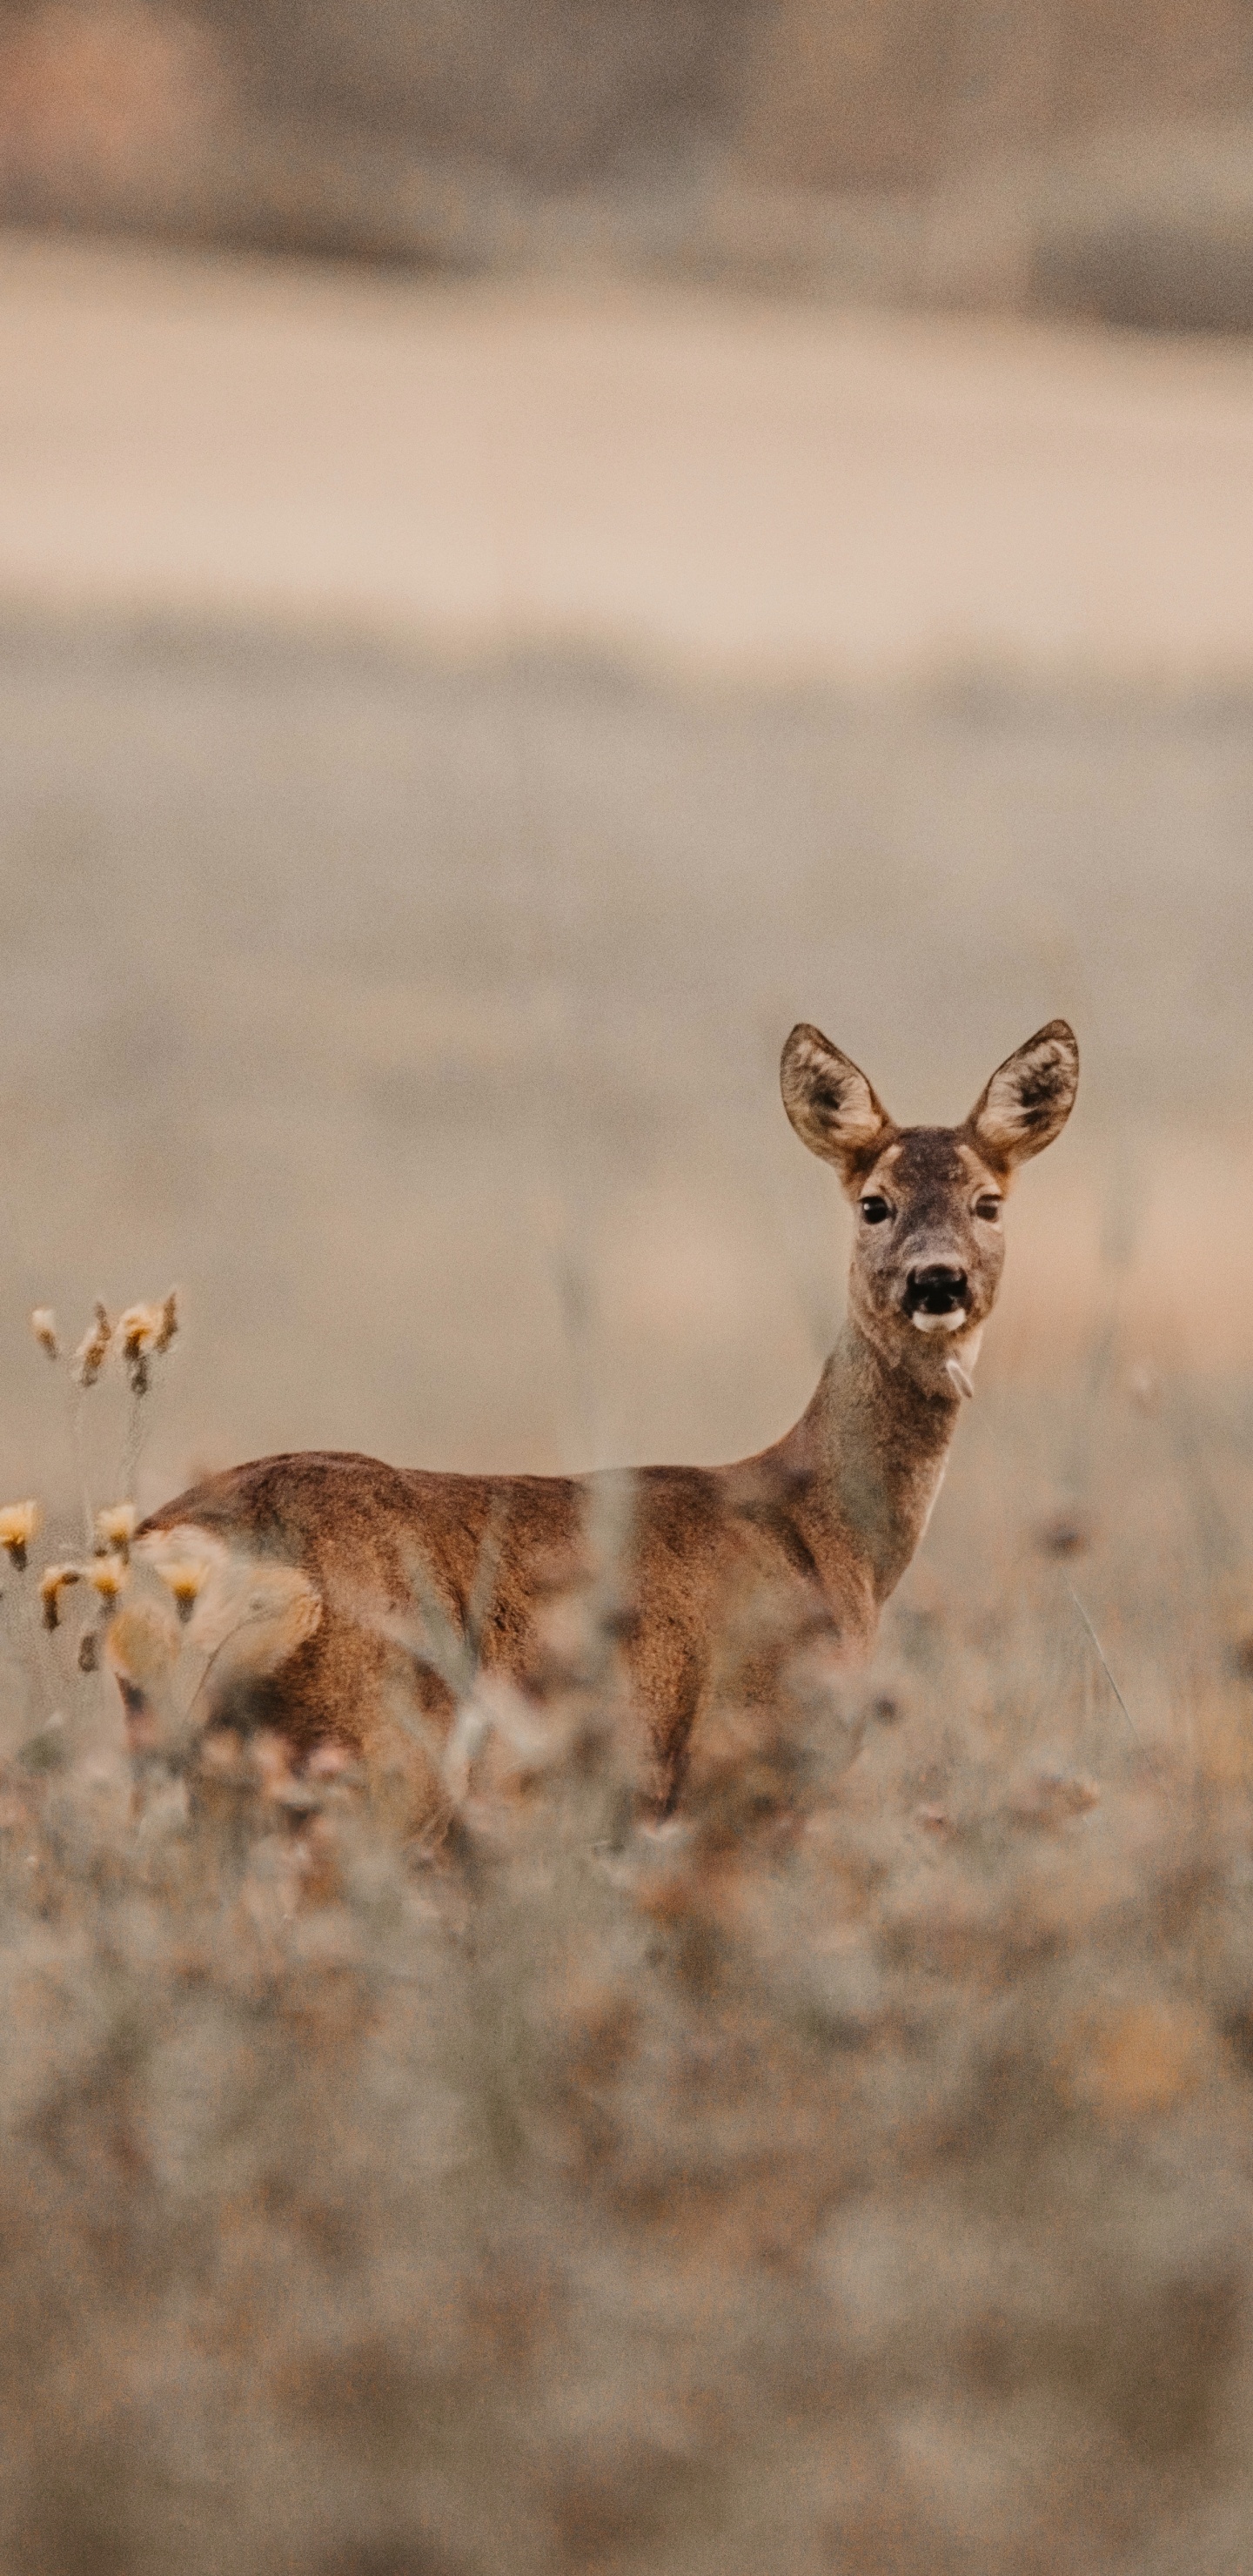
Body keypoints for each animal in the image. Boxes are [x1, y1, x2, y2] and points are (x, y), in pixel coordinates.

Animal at [131, 1025, 1082, 1834]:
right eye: (874, 1204)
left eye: (989, 1203)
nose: (938, 1280)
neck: (830, 1537)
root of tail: (184, 1547)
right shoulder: (739, 1764)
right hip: (368, 1752)